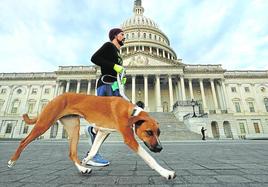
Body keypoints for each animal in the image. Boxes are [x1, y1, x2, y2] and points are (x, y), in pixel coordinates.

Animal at [6, 93, 176, 180]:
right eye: (149, 132)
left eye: (159, 133)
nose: (160, 148)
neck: (131, 112)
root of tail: (55, 97)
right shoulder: (129, 139)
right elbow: (149, 158)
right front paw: (166, 172)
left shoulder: (102, 132)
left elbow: (93, 150)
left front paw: (86, 160)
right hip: (44, 123)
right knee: (23, 141)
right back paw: (12, 161)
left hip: (74, 128)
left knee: (71, 153)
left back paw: (82, 168)